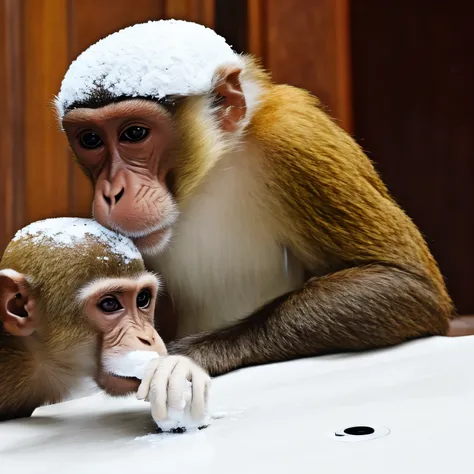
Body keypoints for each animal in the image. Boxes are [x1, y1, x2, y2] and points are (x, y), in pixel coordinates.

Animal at [56, 19, 456, 378]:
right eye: (91, 139)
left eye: (134, 133)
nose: (112, 191)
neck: (211, 172)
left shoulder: (296, 140)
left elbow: (405, 282)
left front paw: (190, 356)